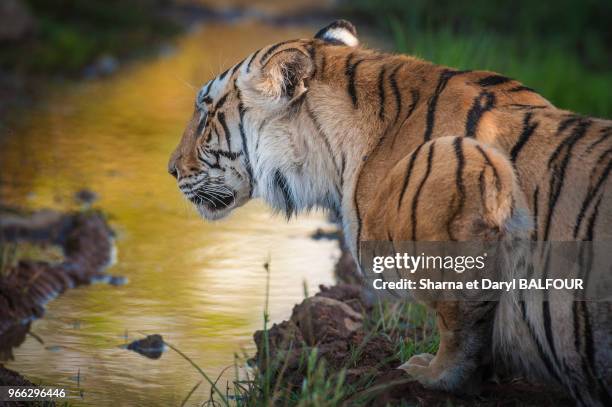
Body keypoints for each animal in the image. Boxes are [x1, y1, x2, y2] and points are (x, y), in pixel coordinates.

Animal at [167, 19, 612, 407]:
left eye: (206, 114)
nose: (170, 169)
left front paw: (435, 375)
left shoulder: (458, 179)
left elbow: (459, 322)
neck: (339, 160)